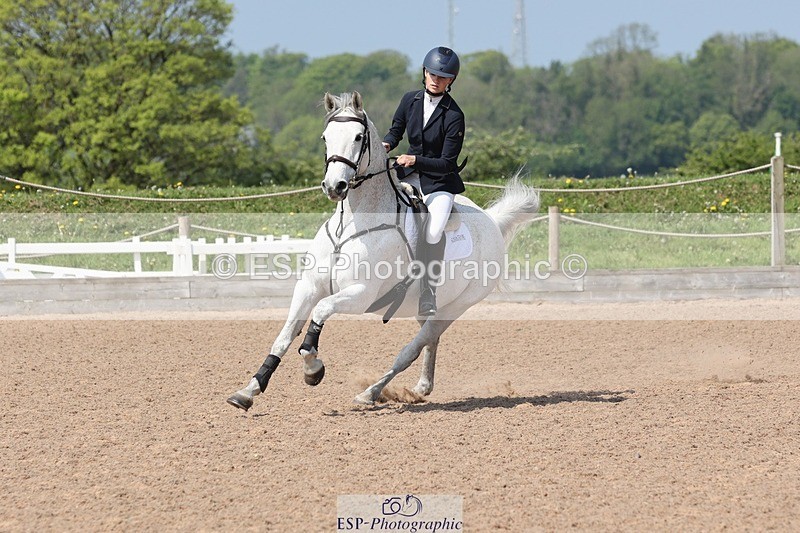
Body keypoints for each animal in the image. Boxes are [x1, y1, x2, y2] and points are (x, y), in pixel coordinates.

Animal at [226, 91, 540, 410]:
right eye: (326, 137)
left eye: (357, 137)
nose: (334, 187)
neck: (351, 224)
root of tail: (492, 221)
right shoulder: (309, 286)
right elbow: (283, 337)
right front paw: (248, 390)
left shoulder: (361, 294)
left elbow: (320, 312)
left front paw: (313, 369)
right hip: (429, 306)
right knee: (429, 341)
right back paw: (421, 387)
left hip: (456, 307)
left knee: (411, 349)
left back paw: (371, 393)